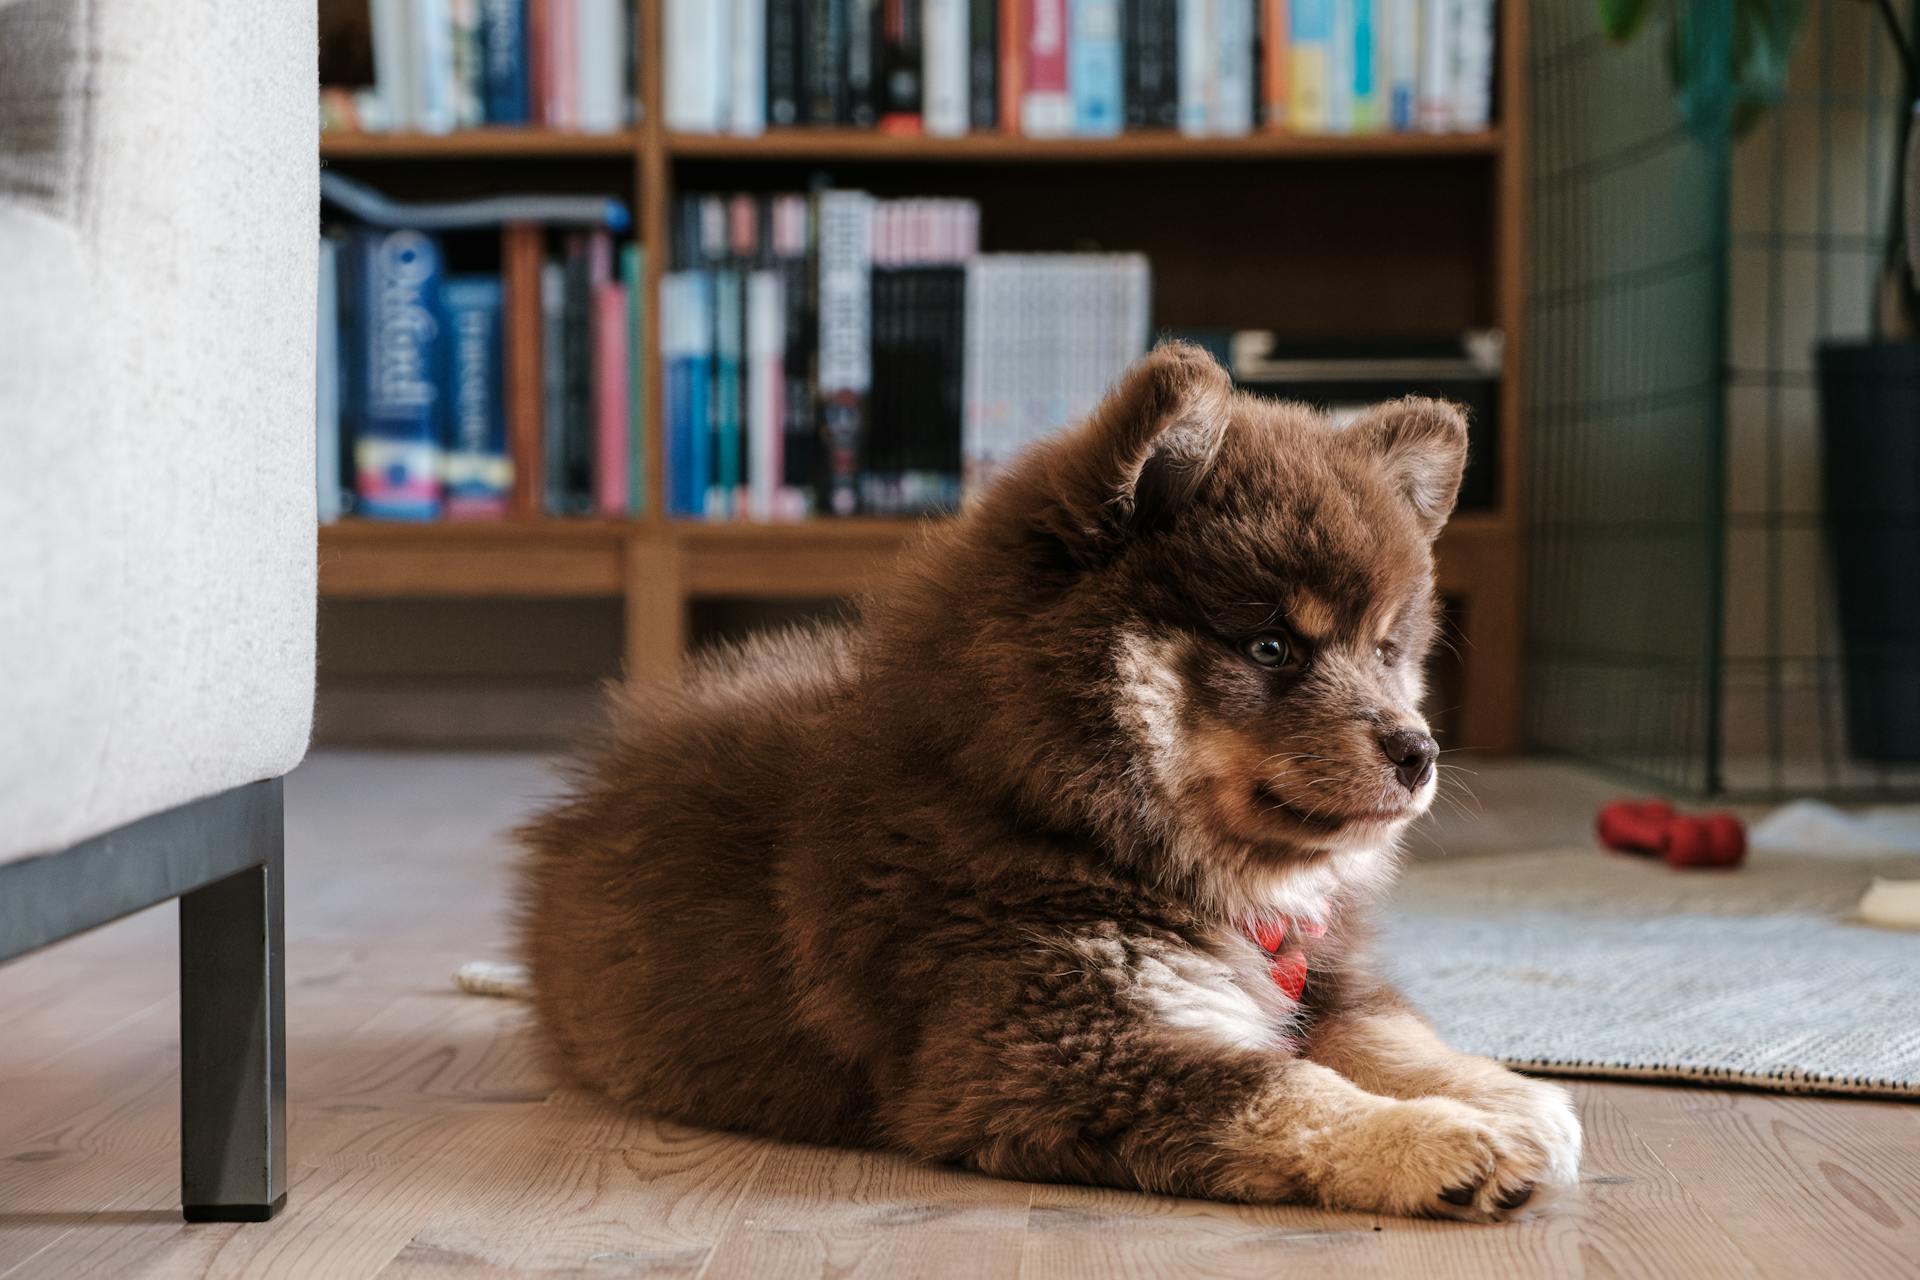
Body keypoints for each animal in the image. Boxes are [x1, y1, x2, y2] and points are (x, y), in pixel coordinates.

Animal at [518, 339, 1582, 1220]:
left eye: (1387, 649)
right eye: (1272, 647)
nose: (1418, 750)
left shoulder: (1315, 973)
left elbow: (1387, 1034)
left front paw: (1510, 1093)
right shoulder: (1046, 1049)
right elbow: (1282, 1087)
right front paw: (1441, 1141)